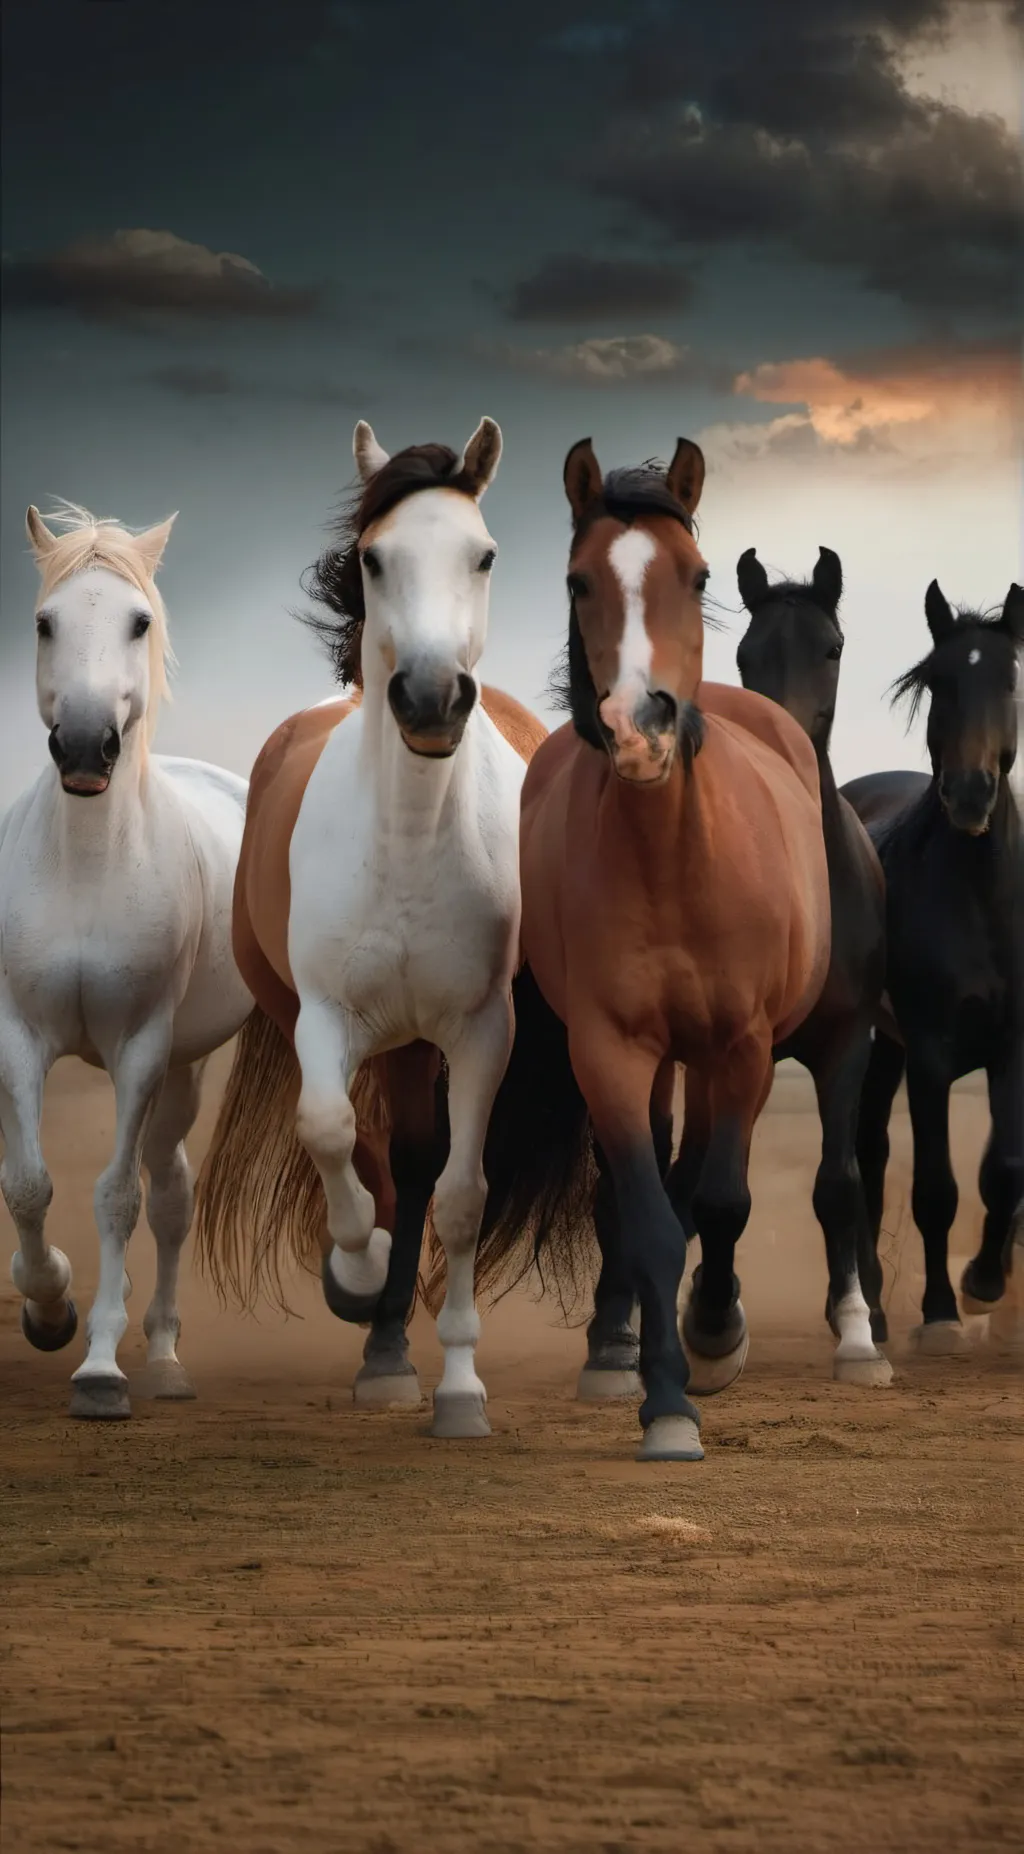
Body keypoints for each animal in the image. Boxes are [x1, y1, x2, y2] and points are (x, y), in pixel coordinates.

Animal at [0, 504, 253, 1419]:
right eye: (45, 622)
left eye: (138, 621)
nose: (84, 747)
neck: (86, 870)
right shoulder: (19, 1037)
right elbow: (29, 1185)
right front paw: (48, 1308)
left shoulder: (140, 1049)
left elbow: (117, 1197)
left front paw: (101, 1368)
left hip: (183, 1065)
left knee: (171, 1196)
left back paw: (166, 1359)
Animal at [194, 420, 546, 1439]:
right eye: (374, 557)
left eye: (484, 554)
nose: (430, 697)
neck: (412, 842)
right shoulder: (324, 1018)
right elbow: (328, 1130)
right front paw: (355, 1267)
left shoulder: (482, 1031)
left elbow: (462, 1196)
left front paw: (462, 1390)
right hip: (353, 1030)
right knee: (380, 1153)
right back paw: (376, 1331)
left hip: (421, 1043)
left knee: (422, 1164)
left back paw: (395, 1352)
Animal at [467, 439, 833, 1461]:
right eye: (578, 579)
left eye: (697, 575)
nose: (642, 728)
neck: (674, 863)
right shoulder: (611, 1052)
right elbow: (648, 1219)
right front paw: (665, 1402)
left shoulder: (744, 1048)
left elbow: (719, 1203)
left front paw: (713, 1338)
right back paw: (615, 1347)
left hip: (711, 1054)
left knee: (703, 1172)